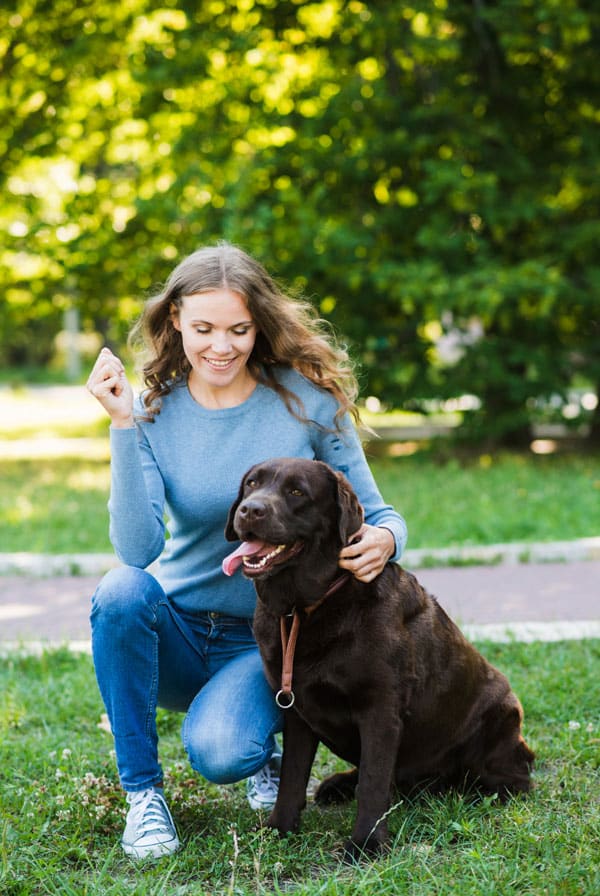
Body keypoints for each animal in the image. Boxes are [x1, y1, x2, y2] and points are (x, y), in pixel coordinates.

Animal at [221, 458, 536, 856]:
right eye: (251, 484)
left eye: (296, 492)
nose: (250, 509)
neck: (306, 607)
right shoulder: (296, 709)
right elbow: (292, 776)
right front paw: (280, 829)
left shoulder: (380, 710)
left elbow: (373, 782)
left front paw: (366, 845)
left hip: (497, 719)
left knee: (512, 779)